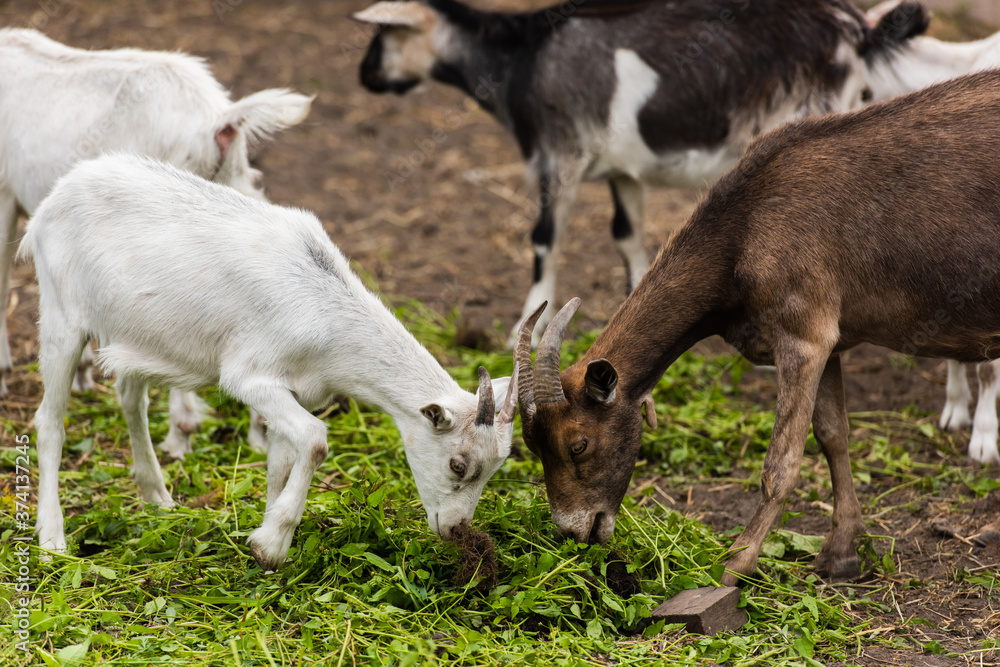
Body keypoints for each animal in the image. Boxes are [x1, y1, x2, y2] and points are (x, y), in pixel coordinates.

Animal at [20, 155, 520, 568]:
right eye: (459, 465)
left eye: (496, 468)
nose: (456, 530)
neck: (326, 312)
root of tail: (57, 195)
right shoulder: (250, 377)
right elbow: (315, 441)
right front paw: (273, 543)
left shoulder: (295, 390)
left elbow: (283, 458)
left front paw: (264, 537)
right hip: (62, 317)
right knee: (49, 421)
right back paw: (52, 541)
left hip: (133, 333)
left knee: (129, 398)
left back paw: (158, 497)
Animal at [354, 1, 928, 344]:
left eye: (381, 35)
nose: (364, 76)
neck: (523, 57)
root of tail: (856, 29)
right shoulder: (621, 170)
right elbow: (627, 236)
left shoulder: (558, 153)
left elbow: (544, 239)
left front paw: (526, 323)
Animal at [516, 70, 1000, 588]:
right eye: (532, 444)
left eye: (578, 444)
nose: (574, 531)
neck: (746, 229)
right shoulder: (831, 340)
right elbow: (833, 435)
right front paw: (842, 553)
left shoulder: (802, 333)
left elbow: (781, 464)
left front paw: (732, 565)